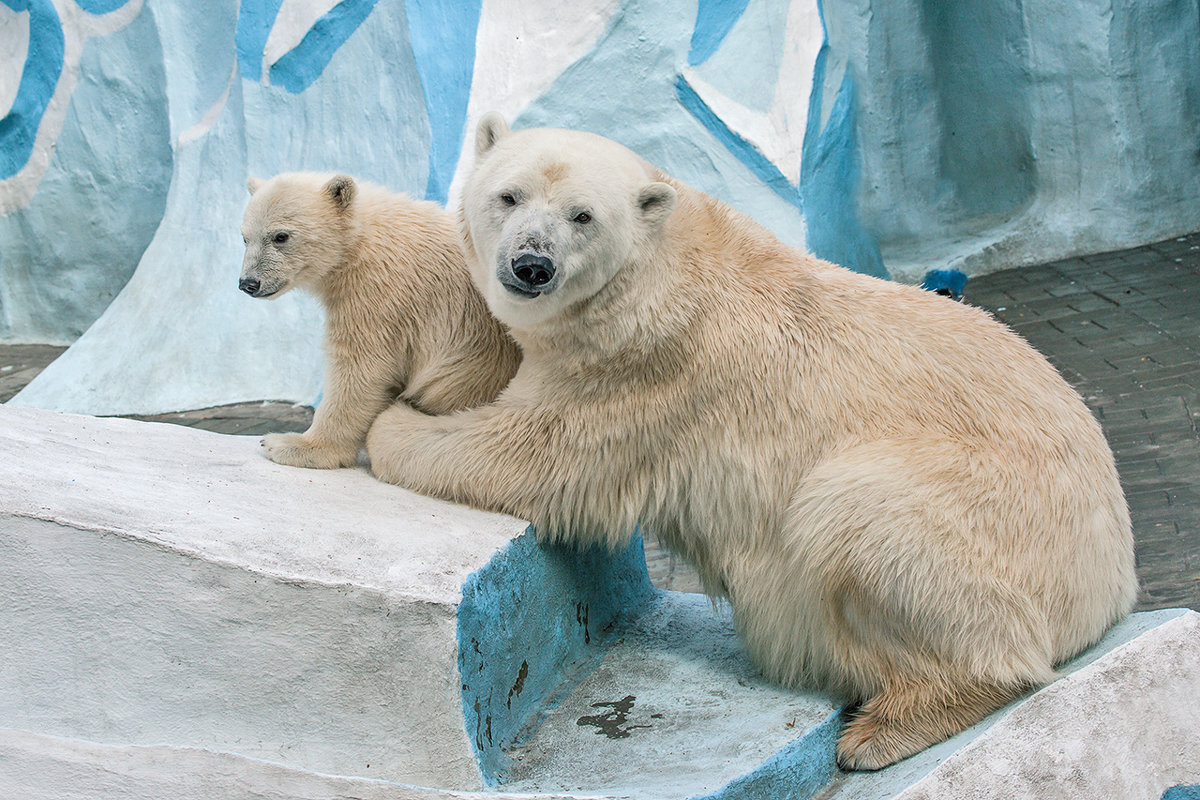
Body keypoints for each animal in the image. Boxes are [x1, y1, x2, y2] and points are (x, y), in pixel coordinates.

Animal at [369, 117, 1137, 767]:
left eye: (582, 216)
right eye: (509, 195)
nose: (532, 265)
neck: (664, 266)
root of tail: (1112, 580)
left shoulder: (645, 371)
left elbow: (537, 454)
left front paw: (392, 422)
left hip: (991, 511)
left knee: (859, 516)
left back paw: (885, 728)